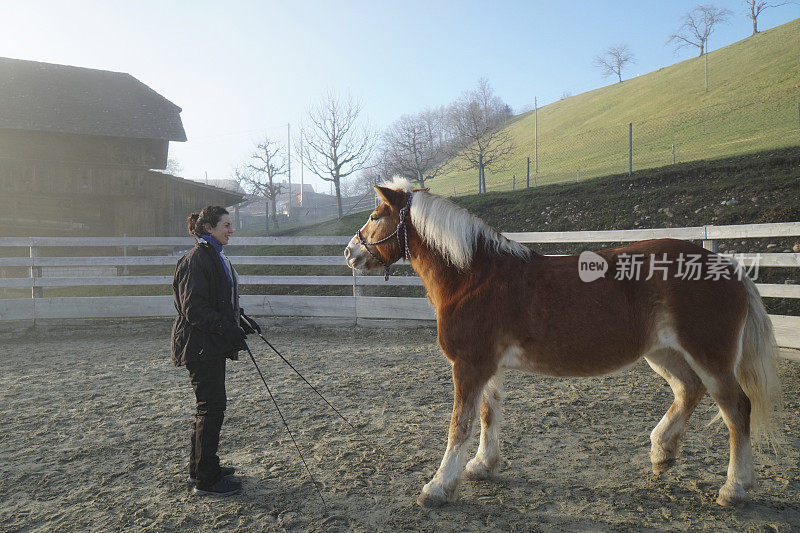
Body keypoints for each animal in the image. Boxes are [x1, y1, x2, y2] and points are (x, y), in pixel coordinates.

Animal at [344, 178, 780, 508]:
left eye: (375, 216)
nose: (349, 253)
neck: (474, 276)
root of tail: (729, 267)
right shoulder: (488, 367)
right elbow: (488, 414)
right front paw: (483, 466)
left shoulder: (468, 366)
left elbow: (459, 425)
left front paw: (437, 487)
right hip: (663, 353)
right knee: (689, 390)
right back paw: (662, 452)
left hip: (710, 356)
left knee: (736, 410)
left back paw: (734, 487)